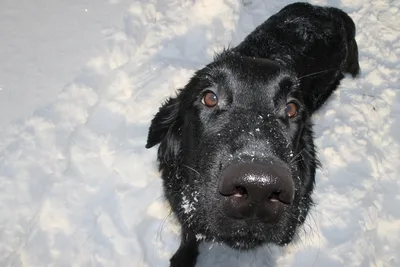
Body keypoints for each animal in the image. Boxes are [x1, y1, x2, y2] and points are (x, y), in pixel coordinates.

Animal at [146, 2, 360, 267]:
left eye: (291, 108)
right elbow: (190, 232)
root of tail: (330, 12)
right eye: (209, 97)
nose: (259, 188)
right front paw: (183, 257)